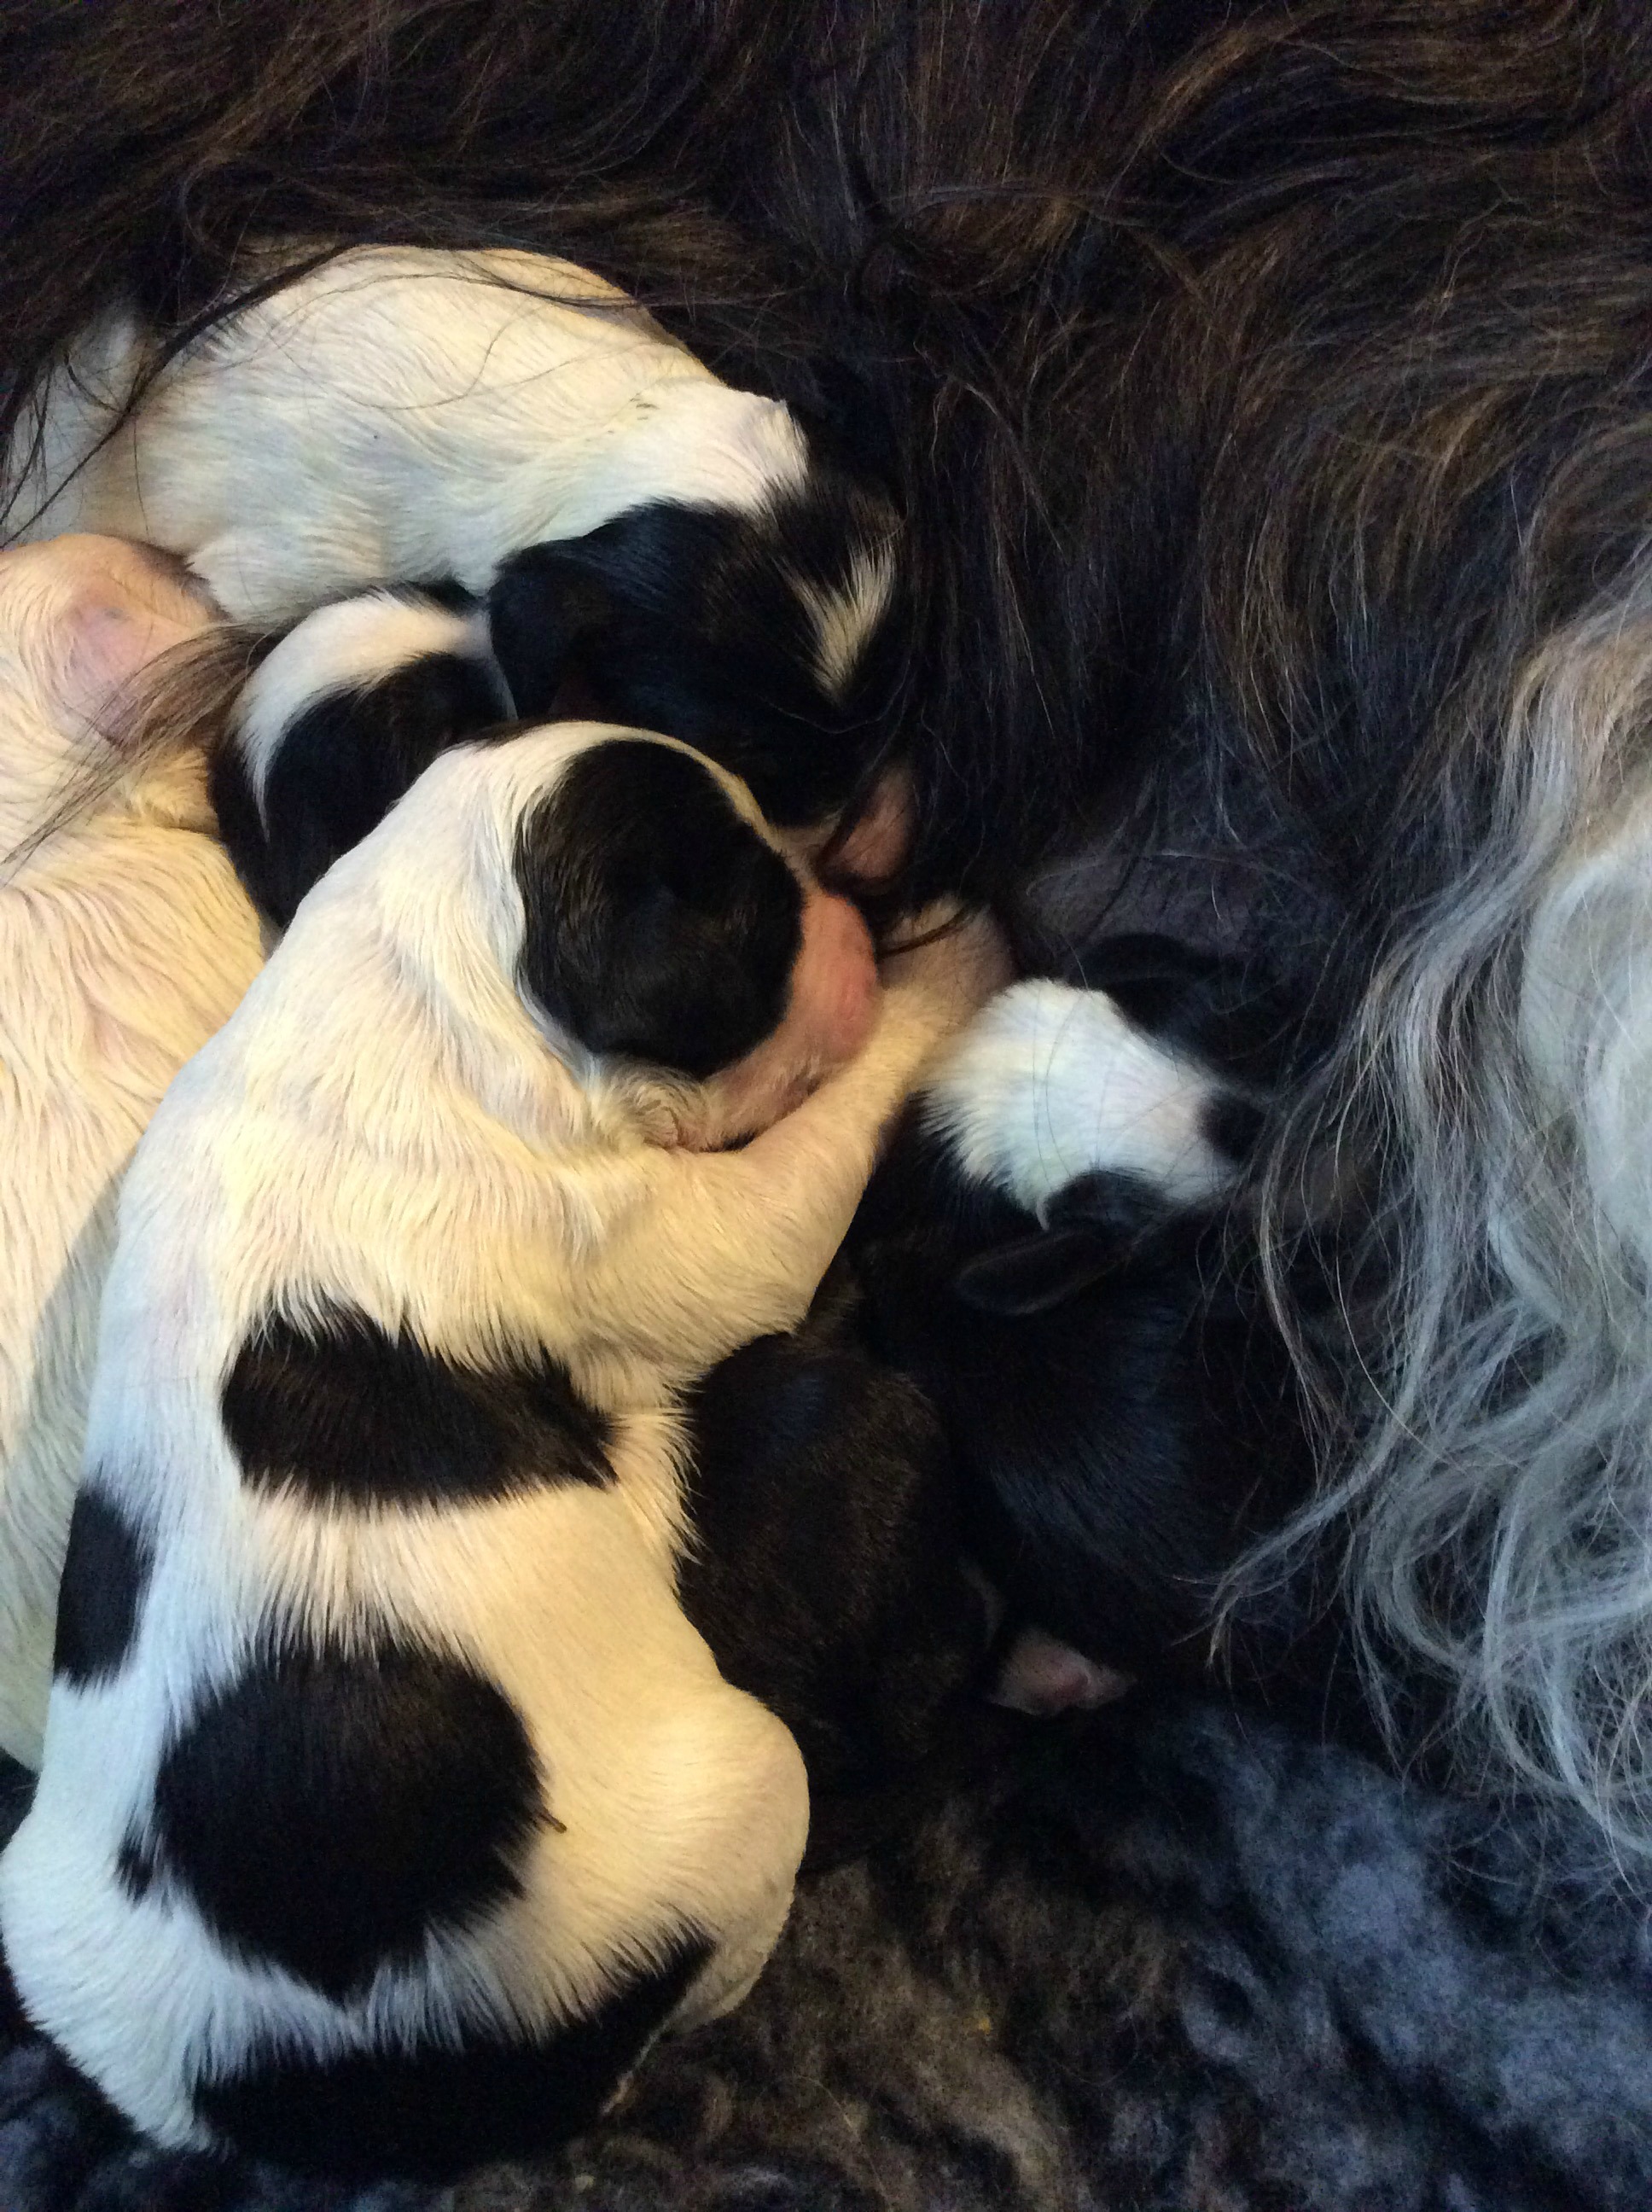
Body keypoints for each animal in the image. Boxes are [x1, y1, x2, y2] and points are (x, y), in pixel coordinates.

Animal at [0, 707, 998, 2180]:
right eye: (756, 913)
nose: (854, 921)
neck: (424, 975)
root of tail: (381, 2083)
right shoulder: (687, 1234)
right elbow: (826, 1139)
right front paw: (963, 962)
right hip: (740, 1793)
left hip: (53, 1936)